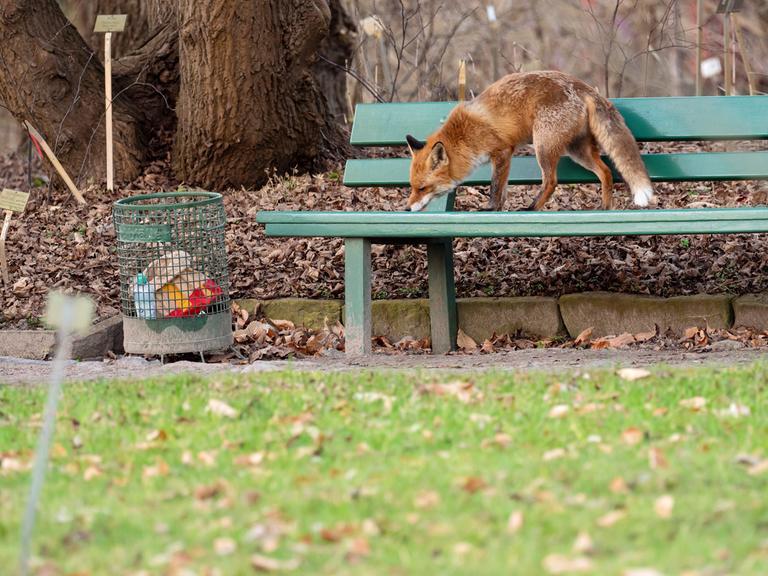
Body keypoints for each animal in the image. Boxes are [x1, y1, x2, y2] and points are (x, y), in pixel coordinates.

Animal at [408, 70, 656, 212]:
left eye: (422, 188)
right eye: (411, 187)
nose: (407, 208)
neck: (462, 137)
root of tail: (584, 87)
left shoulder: (502, 151)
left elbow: (495, 187)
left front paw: (490, 209)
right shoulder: (505, 156)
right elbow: (503, 189)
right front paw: (498, 209)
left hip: (543, 146)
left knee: (551, 181)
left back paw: (532, 207)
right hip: (578, 151)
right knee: (606, 172)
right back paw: (605, 207)